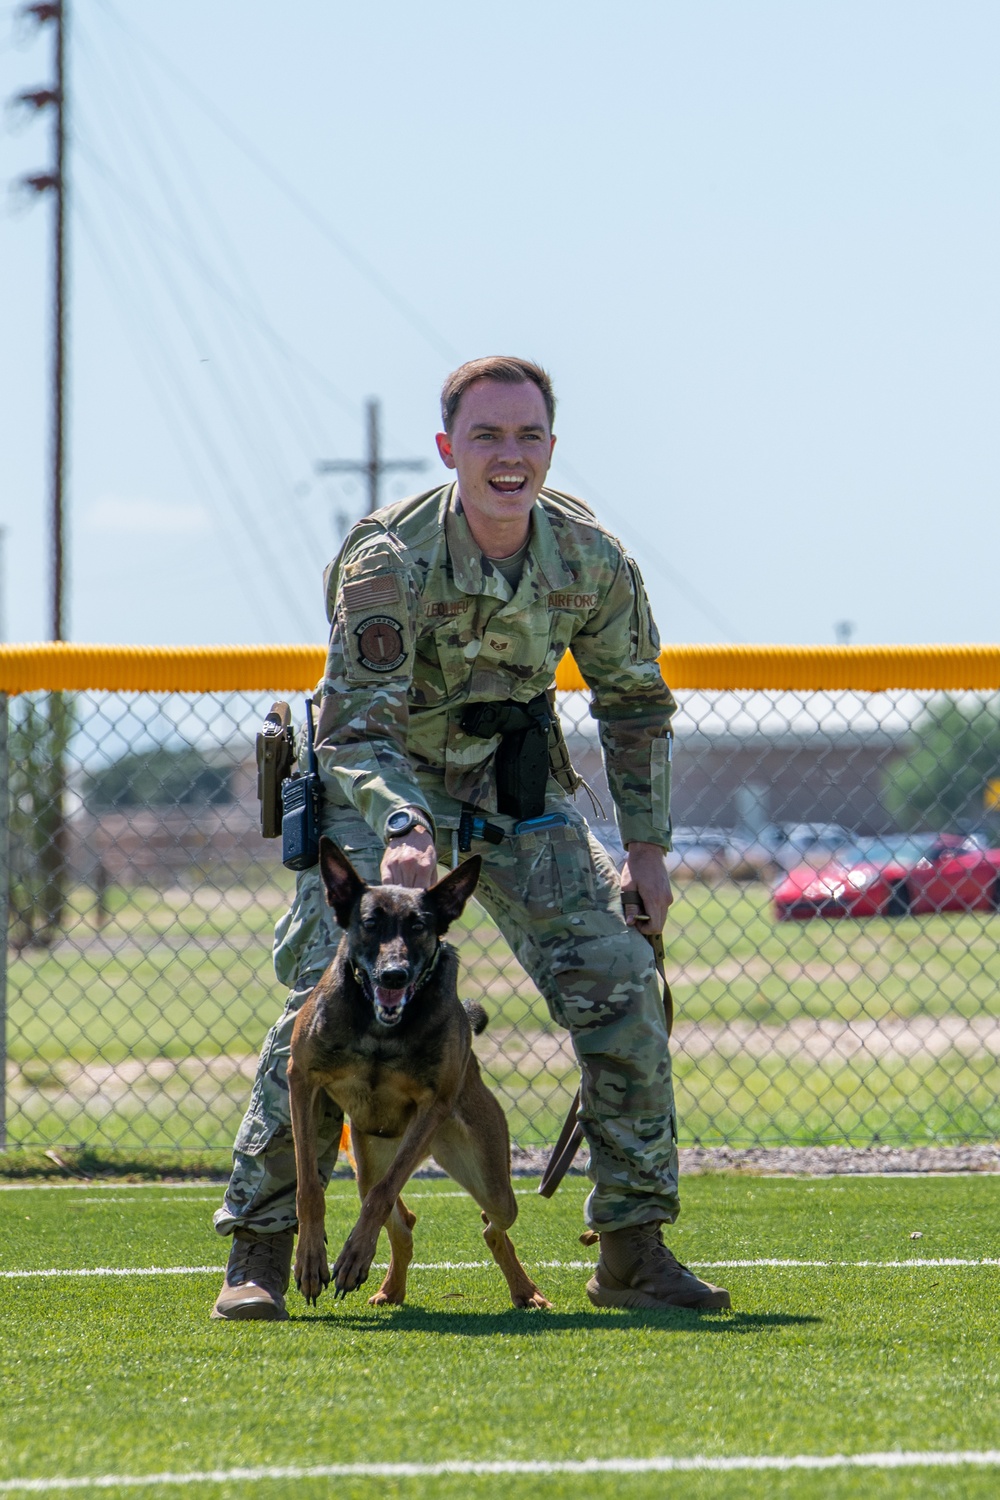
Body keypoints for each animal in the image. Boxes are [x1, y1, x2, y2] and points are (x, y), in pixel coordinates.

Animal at [289, 840, 551, 1308]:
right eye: (370, 924)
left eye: (418, 926)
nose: (394, 975)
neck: (380, 1028)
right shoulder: (301, 1080)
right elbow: (309, 1189)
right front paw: (310, 1259)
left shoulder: (434, 1105)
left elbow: (380, 1198)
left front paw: (349, 1256)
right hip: (369, 1159)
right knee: (402, 1220)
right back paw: (388, 1287)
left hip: (487, 1177)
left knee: (491, 1223)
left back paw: (525, 1291)